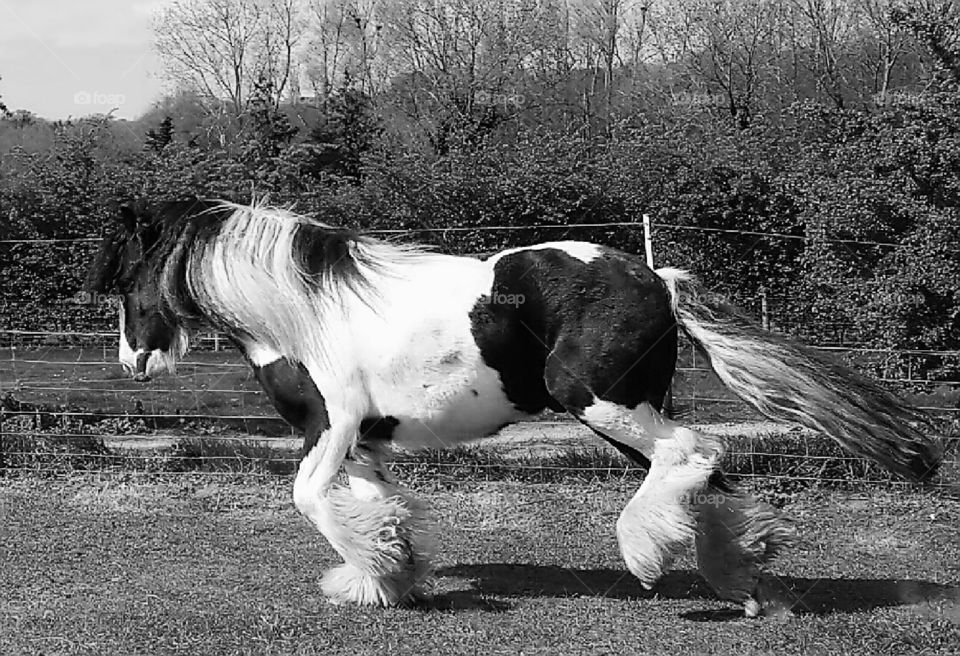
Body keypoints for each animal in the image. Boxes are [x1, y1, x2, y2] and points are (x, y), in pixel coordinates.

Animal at [86, 199, 940, 616]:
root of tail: (658, 279)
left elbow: (308, 499)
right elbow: (371, 505)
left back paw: (650, 559)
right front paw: (388, 574)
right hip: (629, 412)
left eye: (126, 277)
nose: (132, 363)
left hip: (599, 403)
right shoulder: (359, 442)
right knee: (704, 478)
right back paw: (749, 583)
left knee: (696, 453)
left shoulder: (330, 428)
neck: (305, 314)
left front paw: (380, 575)